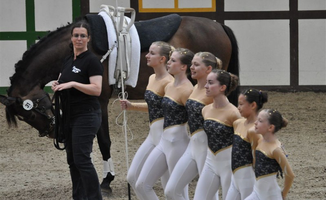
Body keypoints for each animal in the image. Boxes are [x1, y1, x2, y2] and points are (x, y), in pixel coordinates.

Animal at [0, 13, 239, 189]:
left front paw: (107, 180)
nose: (51, 131)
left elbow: (104, 140)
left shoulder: (99, 101)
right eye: (24, 116)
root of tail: (219, 27)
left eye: (29, 112)